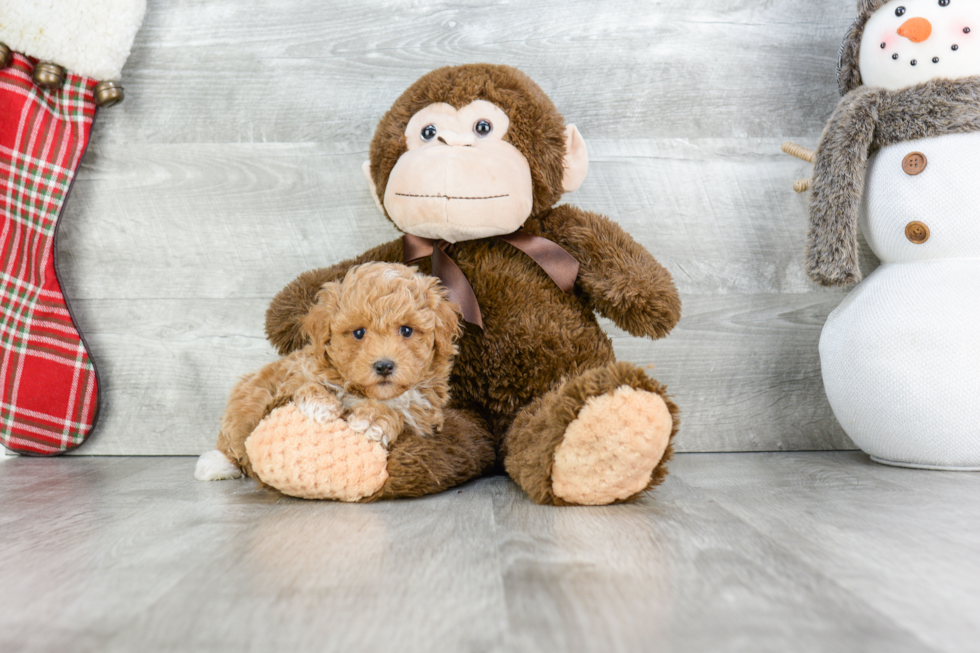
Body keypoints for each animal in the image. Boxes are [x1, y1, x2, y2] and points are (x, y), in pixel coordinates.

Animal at [198, 262, 464, 482]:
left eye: (407, 330)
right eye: (359, 333)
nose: (384, 365)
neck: (369, 394)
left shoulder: (423, 417)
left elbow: (400, 414)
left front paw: (373, 420)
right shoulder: (296, 374)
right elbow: (305, 384)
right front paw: (321, 403)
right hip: (246, 400)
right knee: (232, 437)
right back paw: (216, 464)